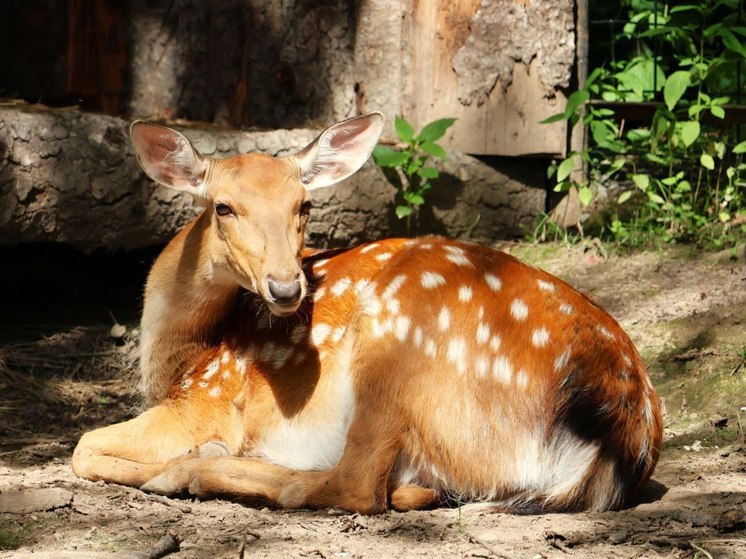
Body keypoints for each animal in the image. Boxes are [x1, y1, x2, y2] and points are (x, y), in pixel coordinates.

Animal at [71, 112, 664, 516]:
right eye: (223, 207)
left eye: (305, 205)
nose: (286, 286)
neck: (183, 354)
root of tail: (622, 420)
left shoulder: (205, 399)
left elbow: (82, 448)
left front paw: (178, 460)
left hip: (395, 344)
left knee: (356, 484)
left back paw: (190, 471)